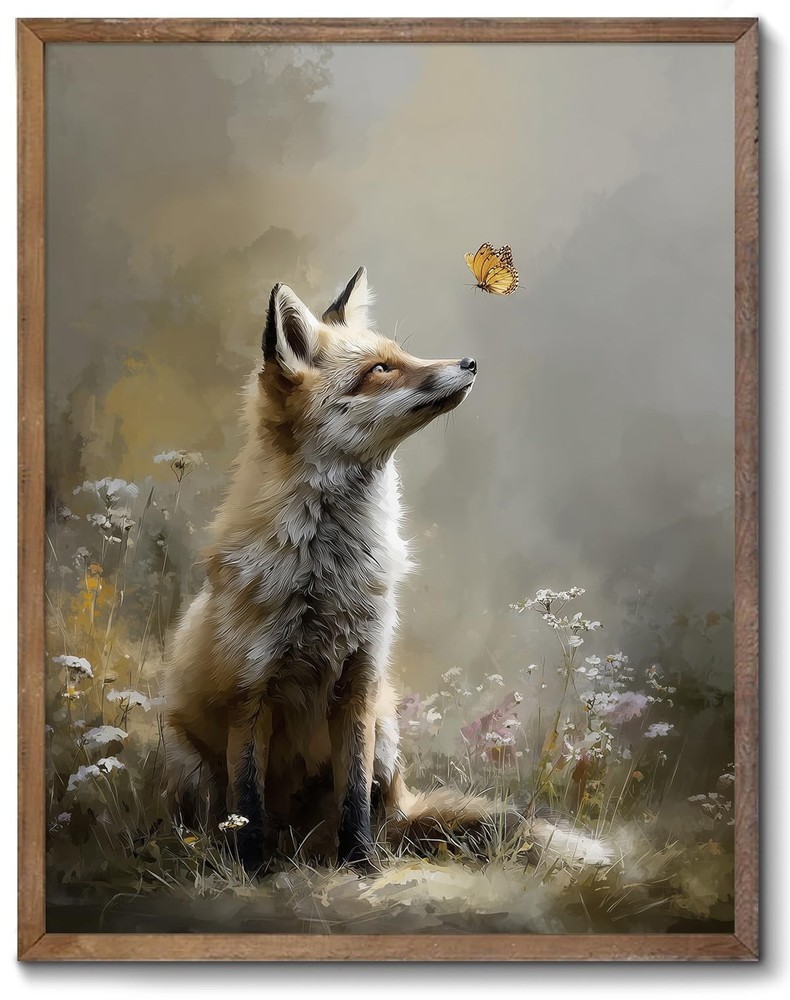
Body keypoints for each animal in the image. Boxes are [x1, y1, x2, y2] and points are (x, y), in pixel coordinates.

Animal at [163, 267, 608, 871]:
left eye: (403, 354)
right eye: (380, 370)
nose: (470, 362)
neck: (327, 575)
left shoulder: (362, 683)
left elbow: (353, 800)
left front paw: (361, 867)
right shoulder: (250, 695)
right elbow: (248, 806)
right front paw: (252, 871)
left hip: (387, 734)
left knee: (381, 818)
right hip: (186, 762)